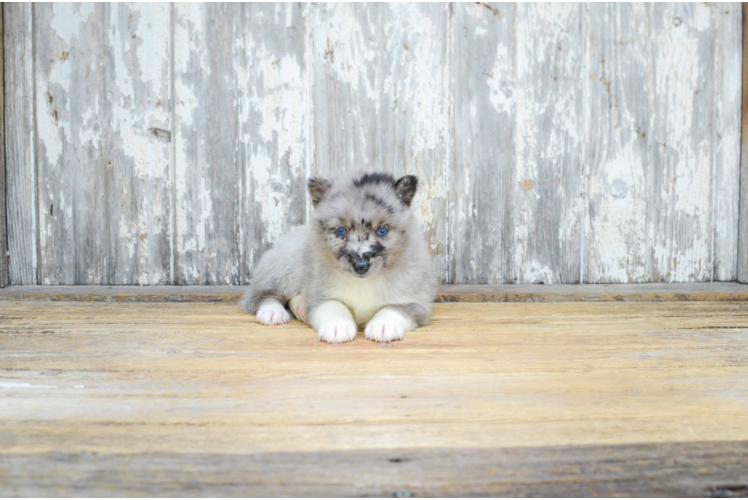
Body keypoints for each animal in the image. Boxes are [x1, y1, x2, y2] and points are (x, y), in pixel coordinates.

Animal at [240, 173, 438, 344]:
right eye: (341, 231)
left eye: (382, 231)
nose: (360, 266)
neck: (363, 283)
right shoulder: (320, 296)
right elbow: (335, 307)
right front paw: (337, 327)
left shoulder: (415, 302)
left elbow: (392, 309)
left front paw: (383, 326)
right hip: (283, 267)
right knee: (262, 295)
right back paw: (272, 312)